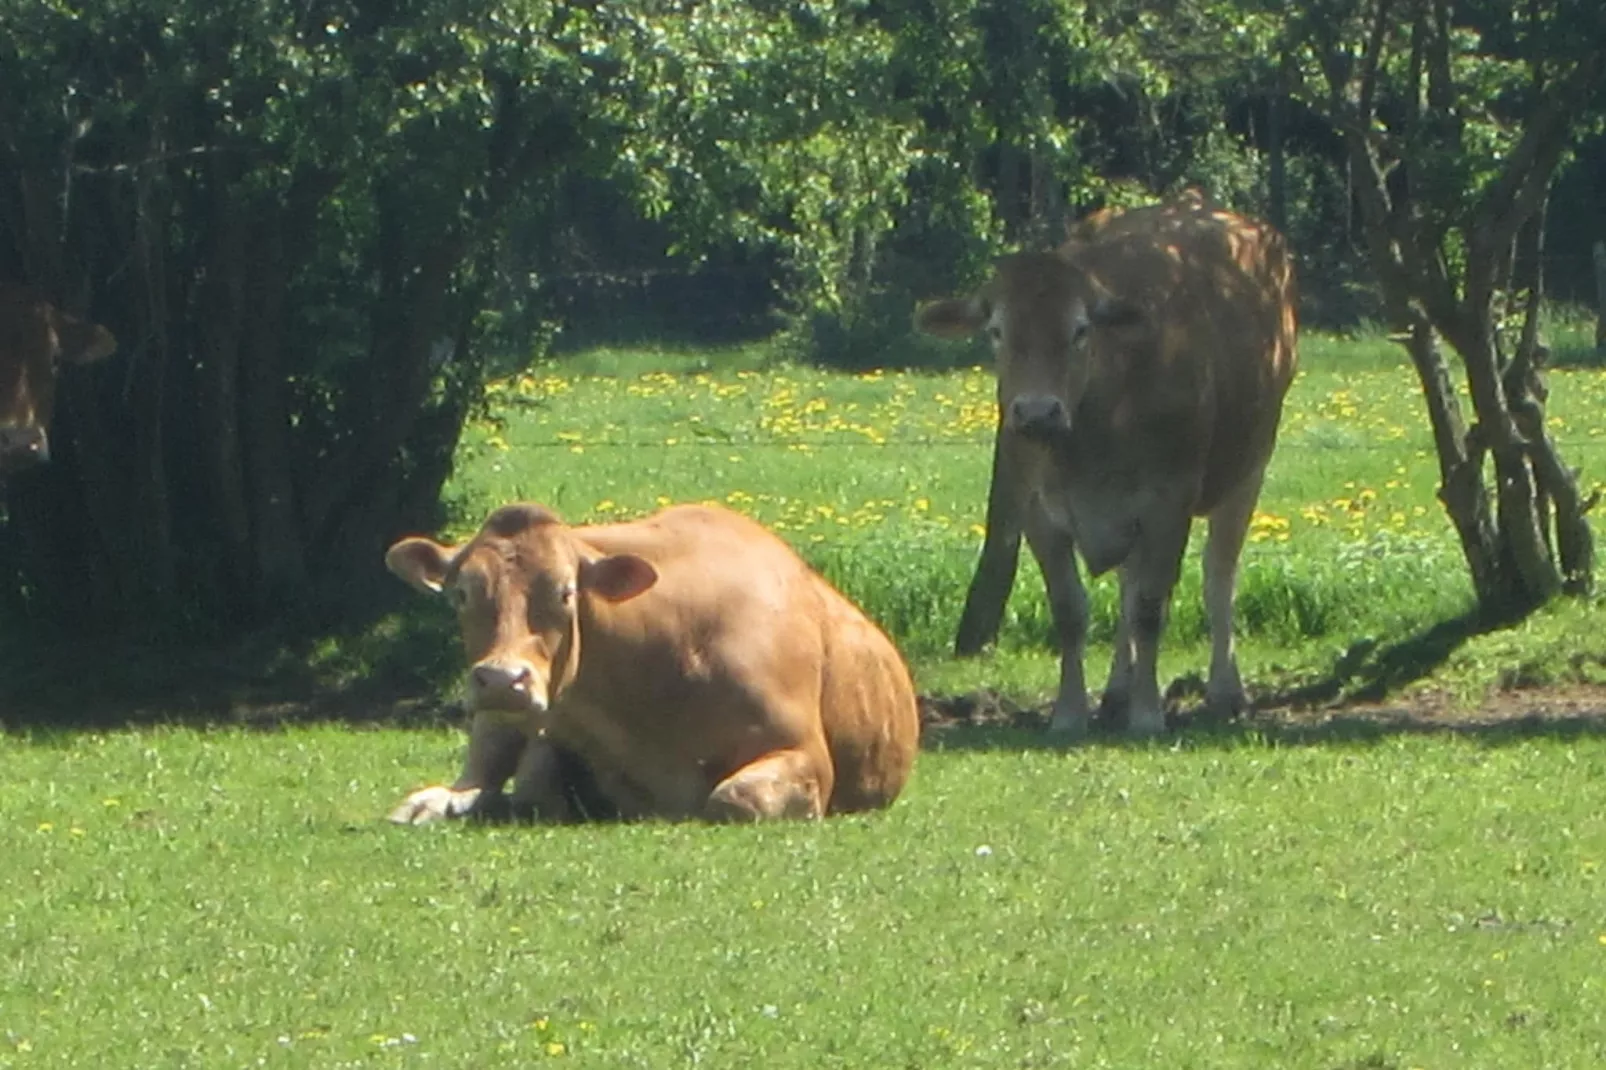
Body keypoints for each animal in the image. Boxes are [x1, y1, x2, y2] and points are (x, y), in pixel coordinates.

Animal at [912, 196, 1297, 732]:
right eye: (996, 331)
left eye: (1080, 330)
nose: (1037, 412)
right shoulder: (1038, 511)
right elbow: (1072, 610)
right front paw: (1070, 712)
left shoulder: (1168, 501)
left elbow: (1151, 608)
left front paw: (1149, 713)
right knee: (1128, 585)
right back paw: (1117, 692)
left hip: (1249, 469)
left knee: (1219, 575)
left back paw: (1225, 690)